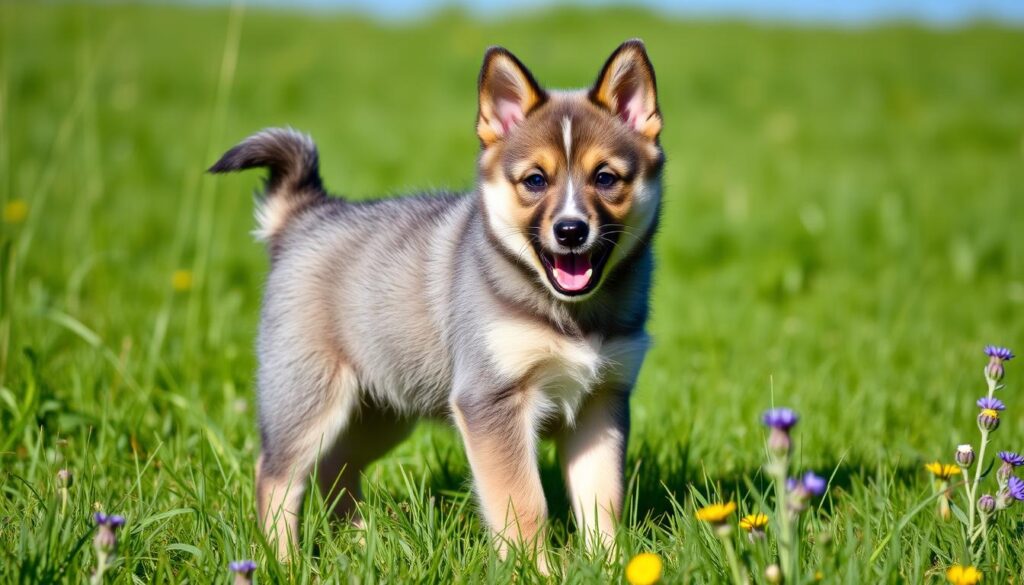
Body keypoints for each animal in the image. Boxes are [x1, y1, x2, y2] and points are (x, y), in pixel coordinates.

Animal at [211, 37, 667, 569]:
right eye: (535, 181)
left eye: (606, 178)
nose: (571, 230)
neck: (568, 315)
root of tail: (307, 215)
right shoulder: (490, 400)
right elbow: (524, 503)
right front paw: (535, 571)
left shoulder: (602, 401)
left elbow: (602, 500)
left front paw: (611, 565)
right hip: (307, 396)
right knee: (277, 474)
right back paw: (283, 561)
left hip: (382, 410)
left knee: (336, 466)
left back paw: (361, 546)